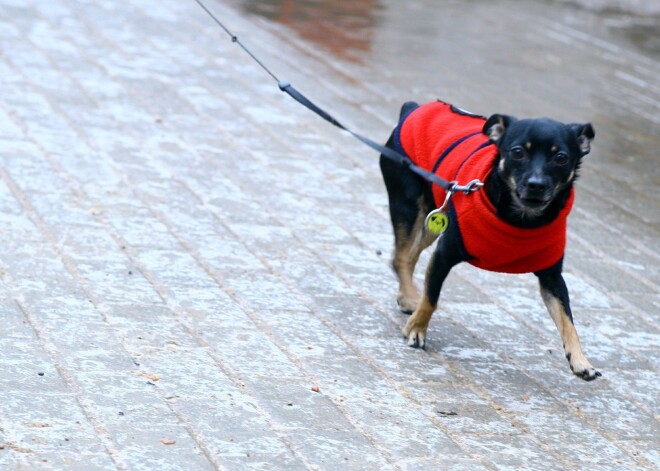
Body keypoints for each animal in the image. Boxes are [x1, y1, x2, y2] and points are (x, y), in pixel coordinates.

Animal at [378, 99, 600, 380]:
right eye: (517, 152)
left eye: (561, 158)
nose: (536, 184)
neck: (521, 220)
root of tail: (413, 108)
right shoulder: (444, 255)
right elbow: (432, 297)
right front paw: (417, 329)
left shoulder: (552, 278)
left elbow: (567, 319)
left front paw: (580, 360)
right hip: (408, 207)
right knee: (401, 256)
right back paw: (409, 297)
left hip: (434, 217)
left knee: (409, 256)